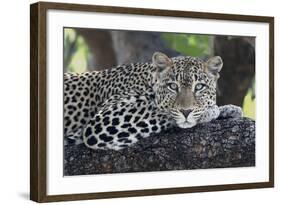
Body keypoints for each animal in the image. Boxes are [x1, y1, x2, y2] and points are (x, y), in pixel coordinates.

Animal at [64, 52, 243, 150]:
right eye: (172, 86)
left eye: (199, 87)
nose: (186, 111)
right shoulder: (104, 120)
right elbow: (162, 111)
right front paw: (210, 111)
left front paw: (229, 109)